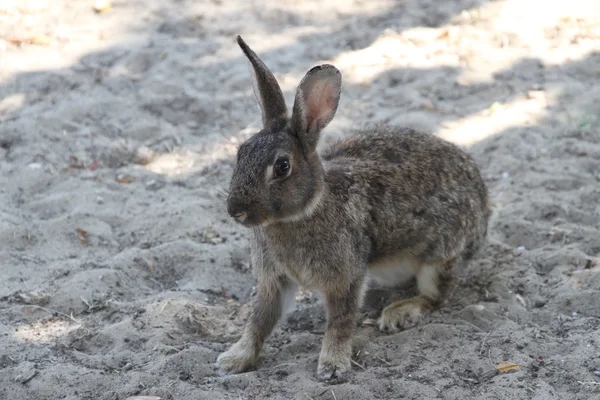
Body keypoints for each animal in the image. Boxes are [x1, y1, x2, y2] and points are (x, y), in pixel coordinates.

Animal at [218, 35, 490, 382]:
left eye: (282, 167)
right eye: (241, 153)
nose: (235, 210)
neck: (306, 210)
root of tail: (484, 206)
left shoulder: (345, 277)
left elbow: (340, 321)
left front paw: (332, 366)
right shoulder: (273, 282)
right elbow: (259, 321)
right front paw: (234, 359)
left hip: (439, 256)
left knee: (435, 296)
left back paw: (398, 313)